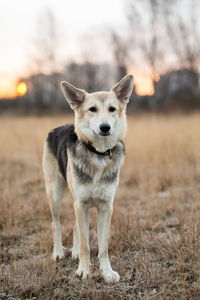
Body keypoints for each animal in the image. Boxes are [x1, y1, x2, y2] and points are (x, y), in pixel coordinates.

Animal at [42, 74, 134, 282]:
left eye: (112, 109)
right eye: (92, 109)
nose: (105, 127)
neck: (98, 153)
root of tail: (57, 128)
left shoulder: (105, 207)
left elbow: (103, 246)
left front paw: (107, 272)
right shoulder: (81, 204)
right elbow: (86, 245)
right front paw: (83, 271)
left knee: (76, 227)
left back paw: (74, 252)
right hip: (55, 194)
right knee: (56, 224)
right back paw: (58, 252)